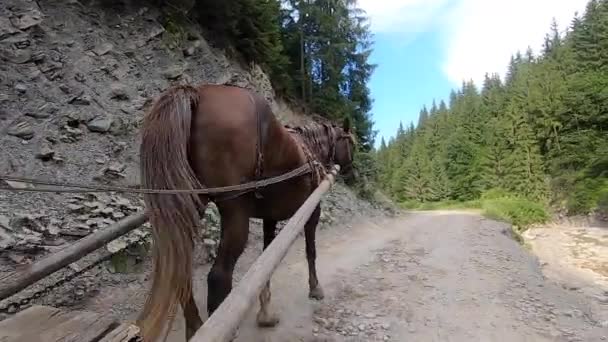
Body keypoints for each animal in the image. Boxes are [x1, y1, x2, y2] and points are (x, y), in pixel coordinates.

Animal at [137, 83, 356, 342]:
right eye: (351, 143)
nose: (352, 171)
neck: (310, 149)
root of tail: (196, 92)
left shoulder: (270, 219)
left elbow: (266, 258)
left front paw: (265, 310)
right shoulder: (313, 211)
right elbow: (310, 251)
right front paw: (315, 289)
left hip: (190, 205)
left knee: (181, 270)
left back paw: (194, 327)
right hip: (235, 209)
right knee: (218, 277)